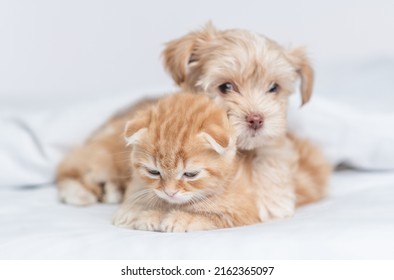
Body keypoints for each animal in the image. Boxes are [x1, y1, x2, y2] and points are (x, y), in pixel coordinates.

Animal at [112, 93, 260, 231]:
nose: (170, 193)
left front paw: (180, 219)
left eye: (191, 174)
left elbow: (210, 216)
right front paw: (138, 212)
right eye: (153, 172)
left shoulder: (244, 211)